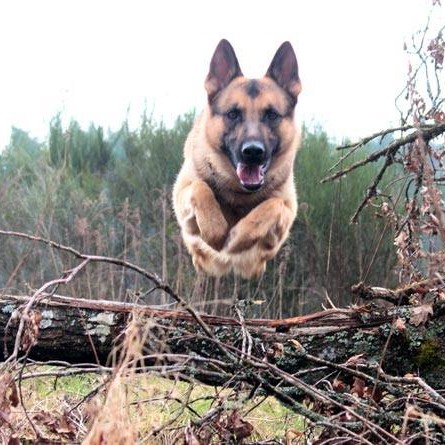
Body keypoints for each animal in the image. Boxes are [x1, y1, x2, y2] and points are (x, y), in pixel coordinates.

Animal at [172, 39, 300, 278]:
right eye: (233, 114)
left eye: (271, 115)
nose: (253, 151)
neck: (240, 194)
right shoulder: (182, 195)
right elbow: (200, 187)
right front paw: (215, 231)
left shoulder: (287, 212)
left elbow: (273, 204)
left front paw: (238, 238)